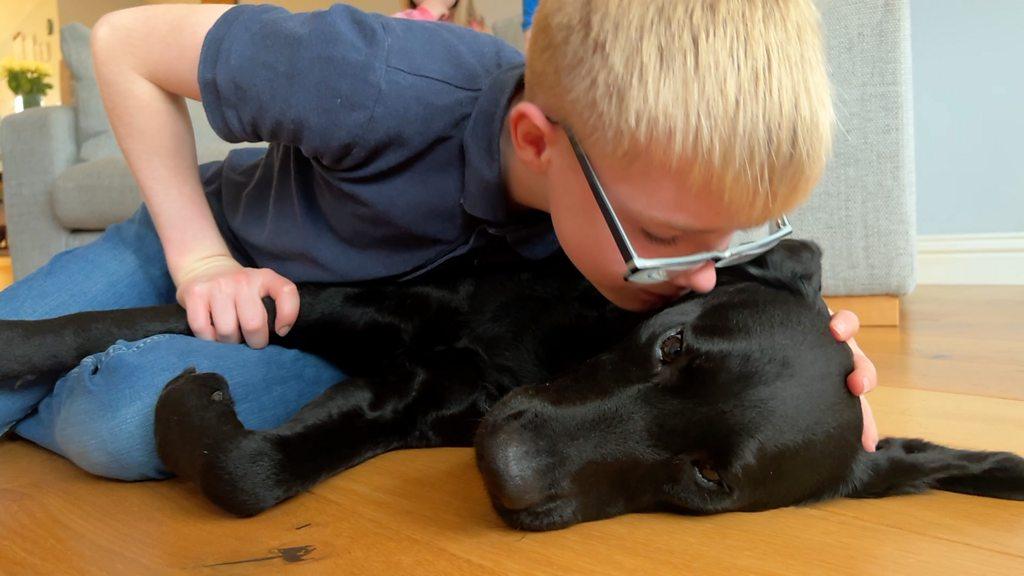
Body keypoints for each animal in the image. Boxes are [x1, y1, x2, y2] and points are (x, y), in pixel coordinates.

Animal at [0, 238, 1019, 528]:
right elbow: (117, 323)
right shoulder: (340, 297)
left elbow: (250, 471)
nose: (507, 468)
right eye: (672, 347)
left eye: (708, 477)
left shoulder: (400, 401)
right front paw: (22, 344)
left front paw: (197, 405)